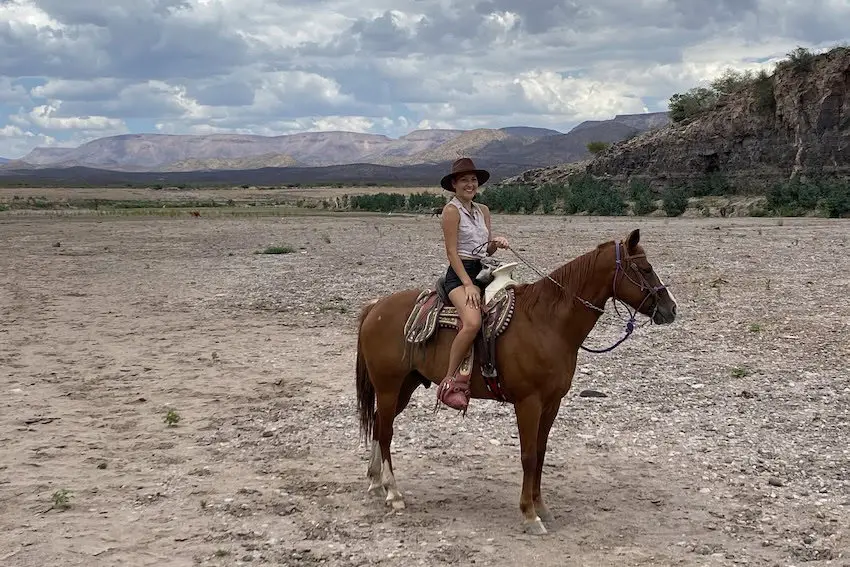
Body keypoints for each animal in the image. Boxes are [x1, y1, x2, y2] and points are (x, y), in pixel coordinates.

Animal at [352, 229, 676, 536]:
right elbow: (528, 456)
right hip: (389, 387)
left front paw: (541, 507)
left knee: (379, 423)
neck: (547, 322)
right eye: (645, 268)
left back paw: (376, 482)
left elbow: (541, 453)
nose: (671, 309)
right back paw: (393, 493)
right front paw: (529, 515)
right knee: (386, 432)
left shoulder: (552, 403)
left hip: (404, 387)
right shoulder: (528, 402)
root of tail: (376, 307)